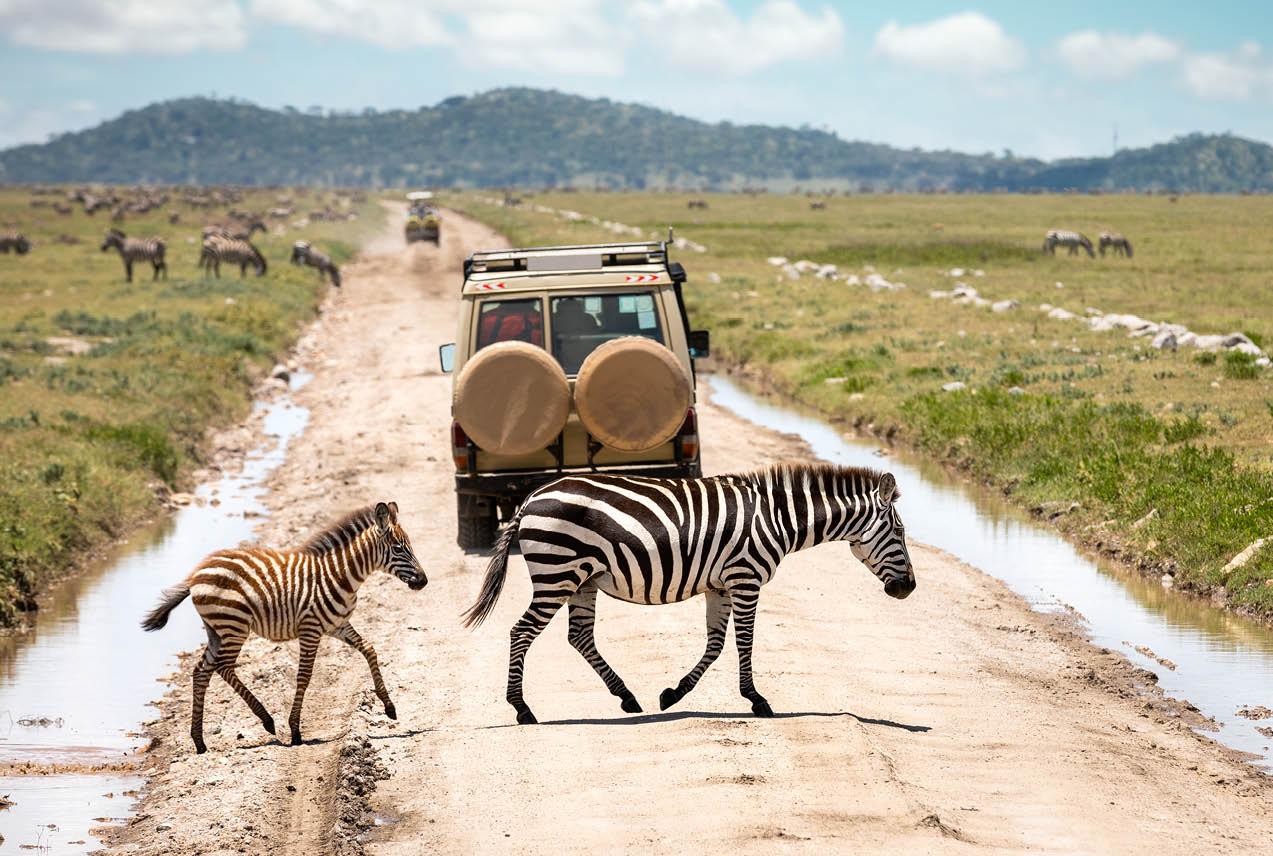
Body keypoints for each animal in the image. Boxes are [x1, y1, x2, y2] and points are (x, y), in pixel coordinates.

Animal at [140, 502, 427, 753]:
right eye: (399, 548)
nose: (423, 581)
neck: (342, 576)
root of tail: (196, 574)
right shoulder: (311, 629)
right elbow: (304, 676)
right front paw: (295, 731)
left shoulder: (338, 625)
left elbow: (369, 649)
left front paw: (389, 706)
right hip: (234, 625)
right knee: (223, 667)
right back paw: (266, 721)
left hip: (217, 630)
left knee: (202, 671)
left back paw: (199, 742)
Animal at [462, 464, 915, 725]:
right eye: (899, 531)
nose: (908, 588)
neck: (776, 519)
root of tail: (530, 498)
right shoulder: (745, 577)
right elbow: (744, 642)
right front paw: (757, 701)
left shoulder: (721, 585)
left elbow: (715, 644)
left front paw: (672, 694)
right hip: (558, 573)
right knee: (522, 632)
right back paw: (522, 709)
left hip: (582, 579)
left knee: (579, 636)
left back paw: (628, 698)